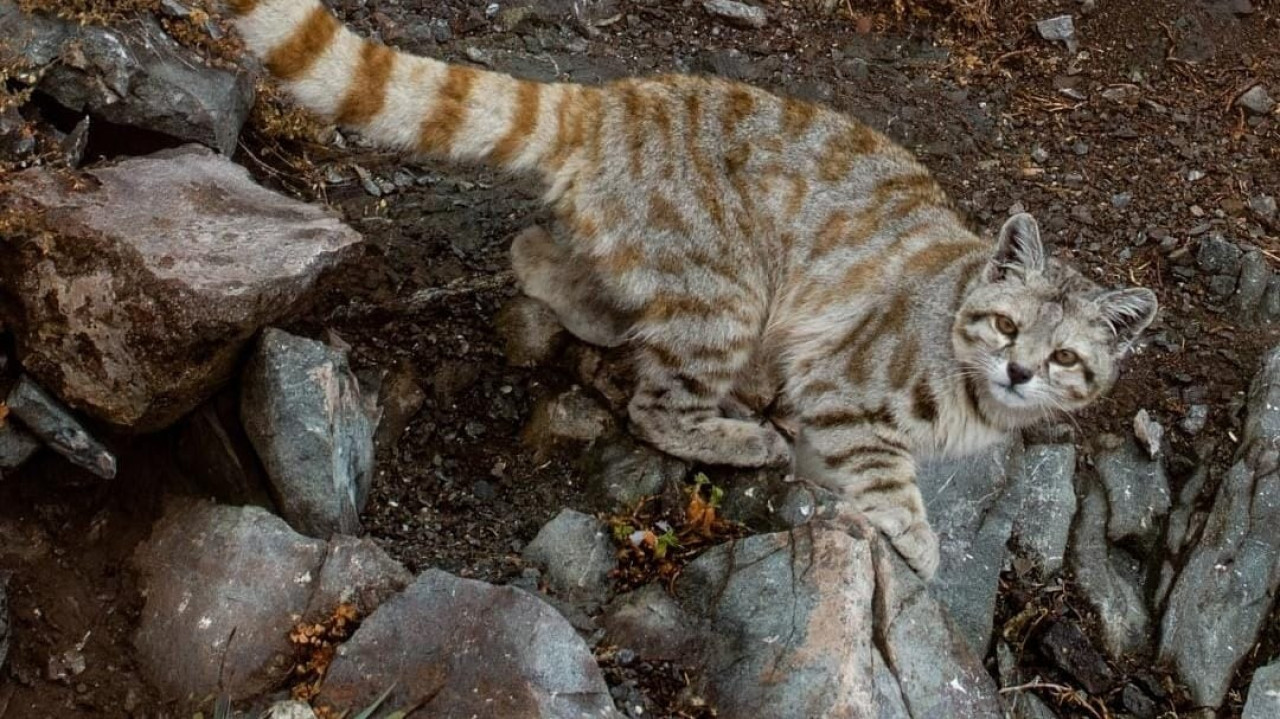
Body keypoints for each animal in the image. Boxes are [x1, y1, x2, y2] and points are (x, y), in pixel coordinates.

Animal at [222, 0, 1162, 573]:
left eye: (1066, 356)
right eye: (1005, 327)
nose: (1020, 371)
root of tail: (609, 103)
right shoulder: (841, 386)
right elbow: (884, 466)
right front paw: (917, 539)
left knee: (538, 253)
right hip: (731, 289)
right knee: (656, 403)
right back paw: (739, 431)